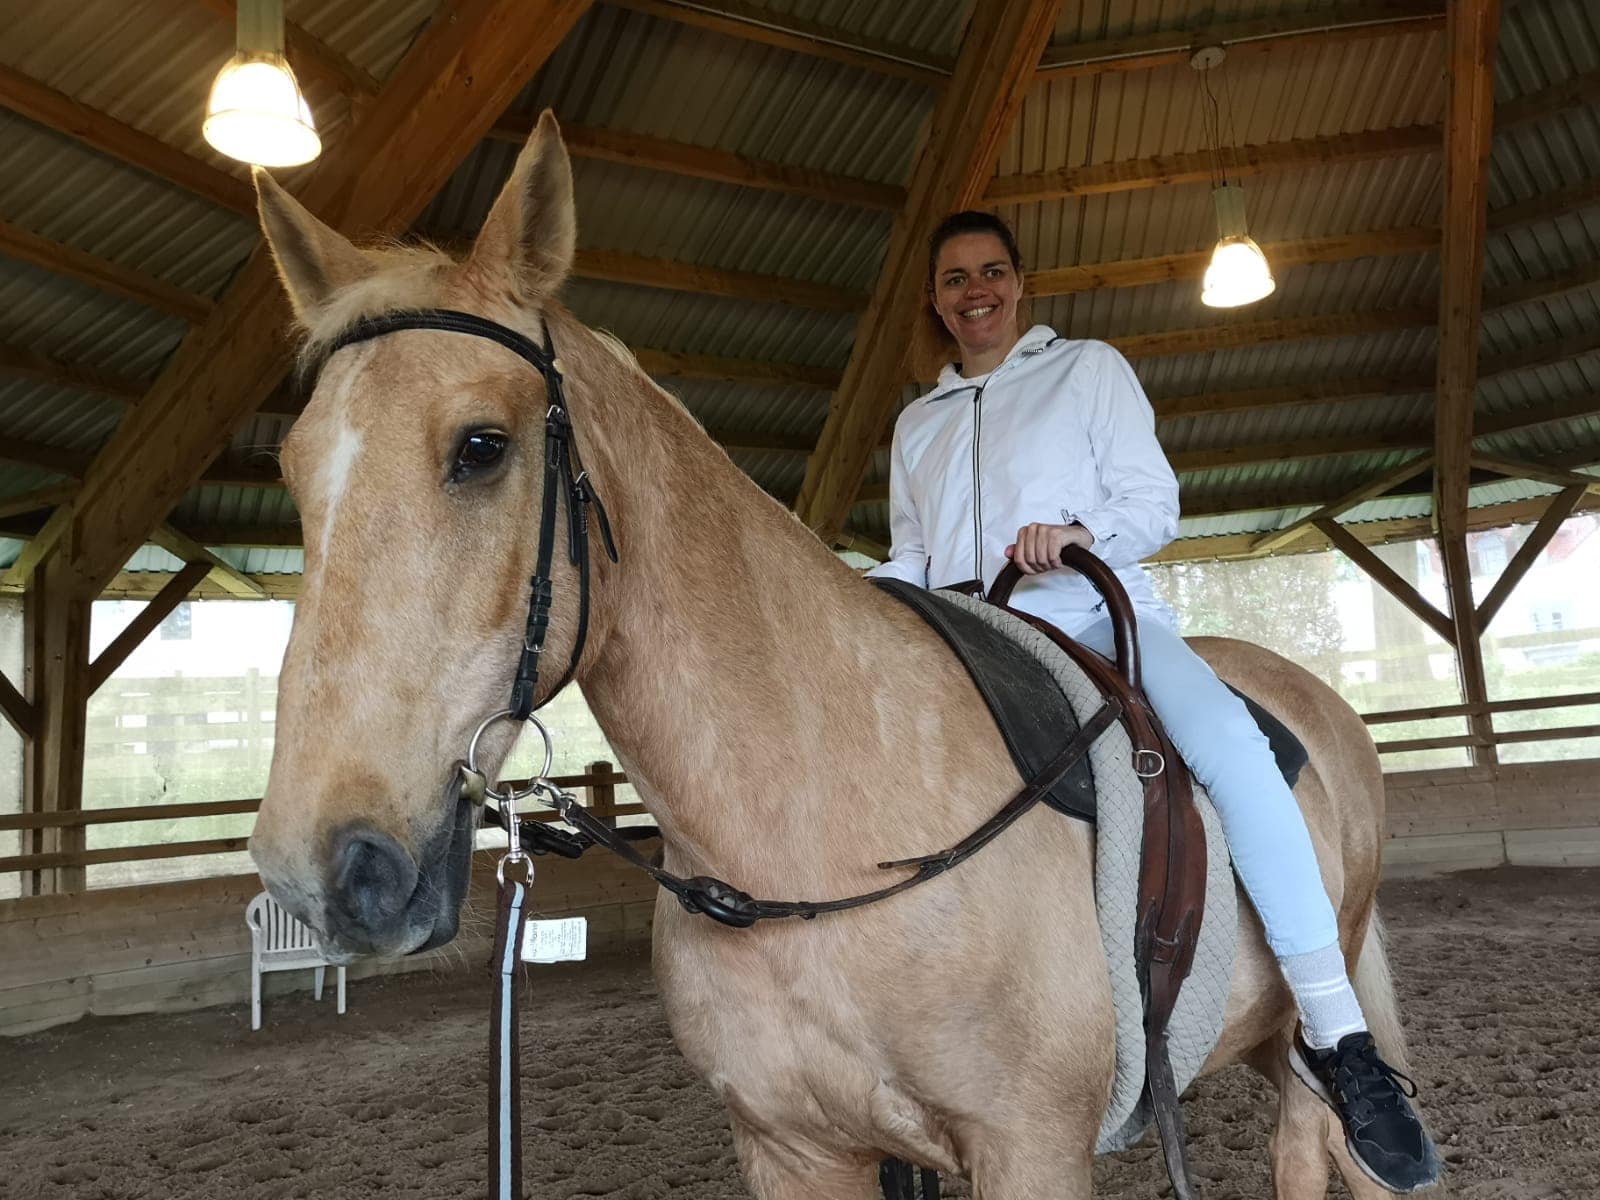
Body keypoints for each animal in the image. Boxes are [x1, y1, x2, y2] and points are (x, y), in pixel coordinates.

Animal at [256, 108, 1433, 1196]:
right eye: (295, 469)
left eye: (481, 447)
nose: (325, 871)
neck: (823, 849)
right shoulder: (794, 1149)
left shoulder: (1032, 1149)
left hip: (1312, 1020)